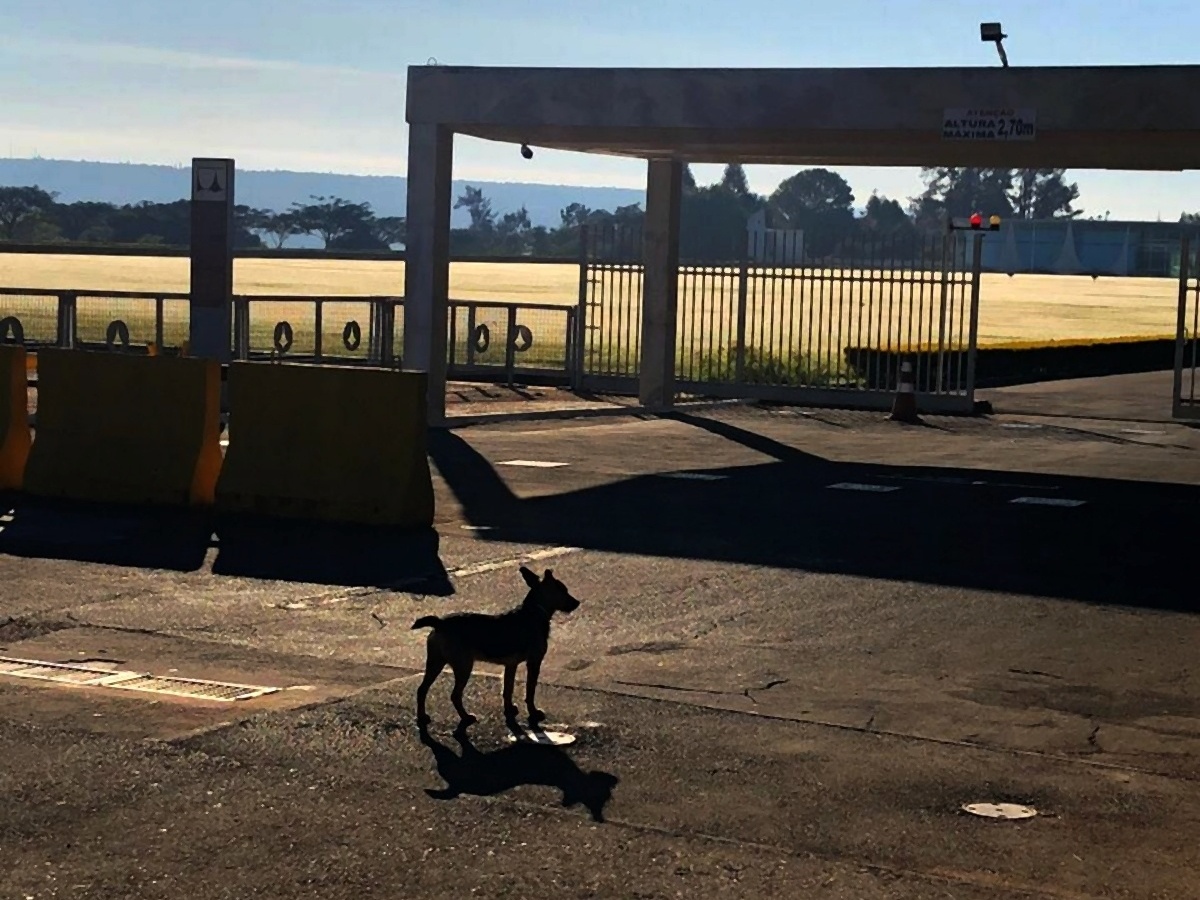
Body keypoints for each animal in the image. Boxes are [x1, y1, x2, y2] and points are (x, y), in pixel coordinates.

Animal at [412, 566, 580, 729]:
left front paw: (509, 709)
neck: (536, 610)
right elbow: (530, 690)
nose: (577, 602)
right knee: (455, 695)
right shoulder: (534, 662)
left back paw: (422, 716)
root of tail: (439, 623)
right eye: (562, 590)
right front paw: (533, 712)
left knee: (422, 689)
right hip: (463, 666)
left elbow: (508, 689)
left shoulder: (511, 665)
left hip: (436, 662)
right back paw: (465, 717)